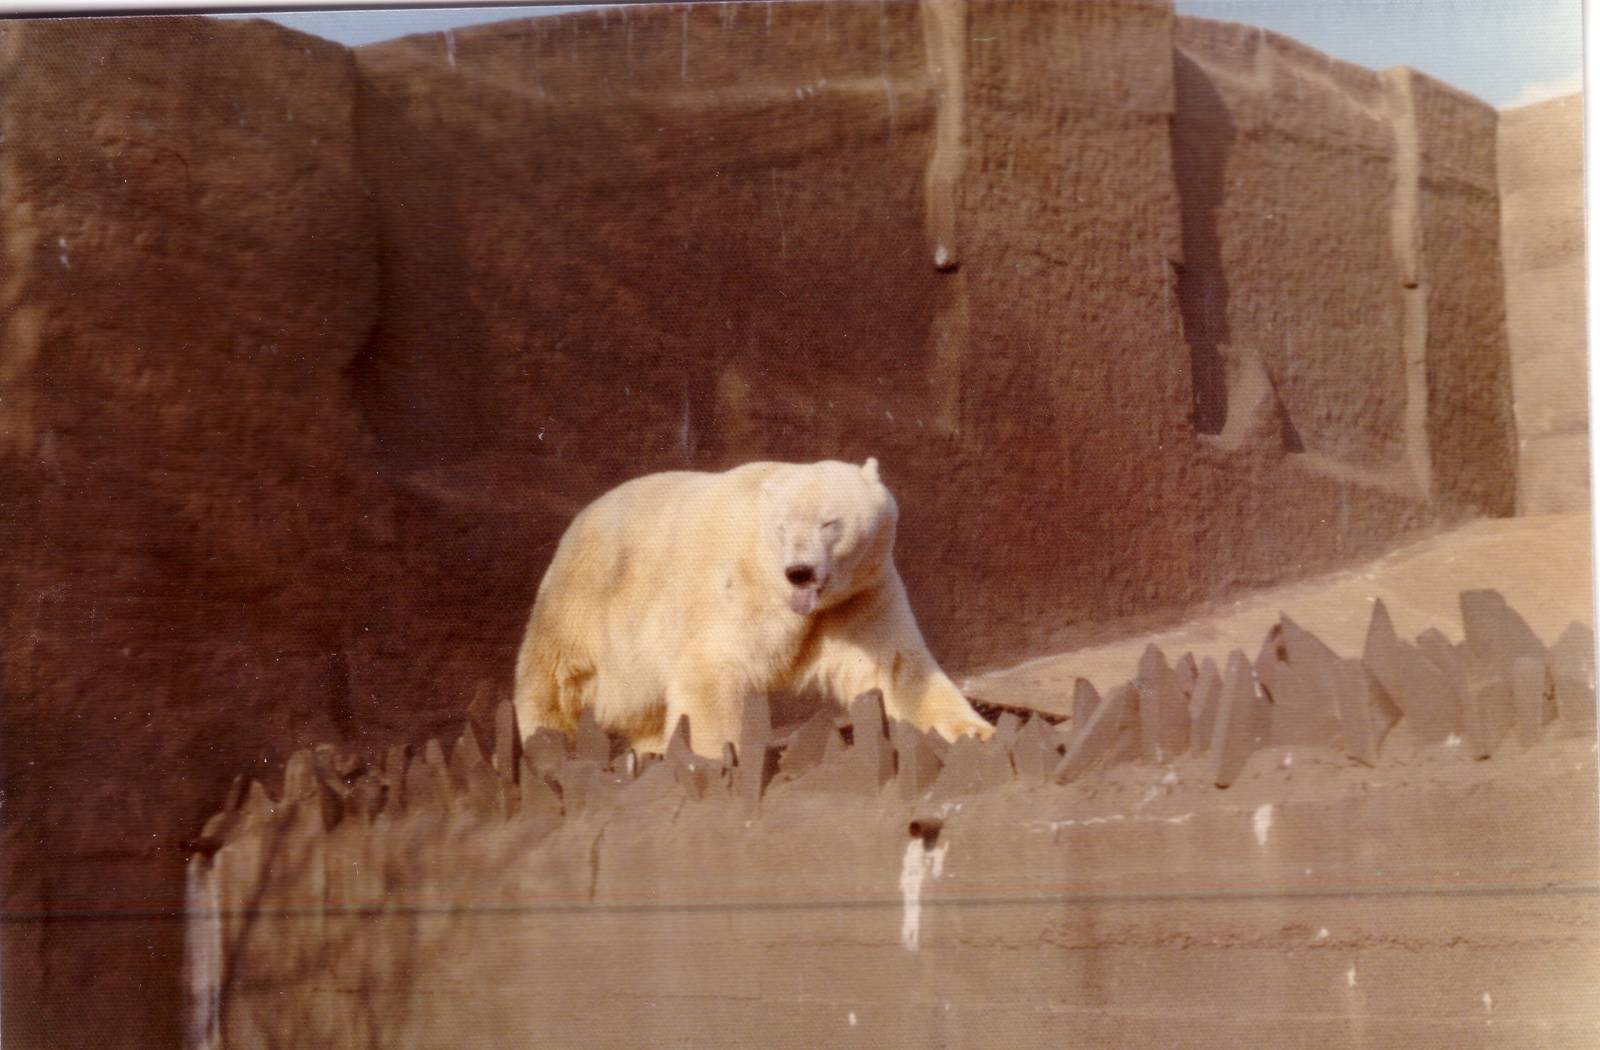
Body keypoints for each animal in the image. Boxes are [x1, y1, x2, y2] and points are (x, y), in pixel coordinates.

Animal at [512, 457, 994, 759]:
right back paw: (549, 743)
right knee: (553, 678)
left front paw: (976, 731)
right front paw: (713, 758)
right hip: (589, 600)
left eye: (830, 522)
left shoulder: (860, 597)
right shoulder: (738, 593)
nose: (799, 571)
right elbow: (713, 672)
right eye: (782, 528)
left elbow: (898, 668)